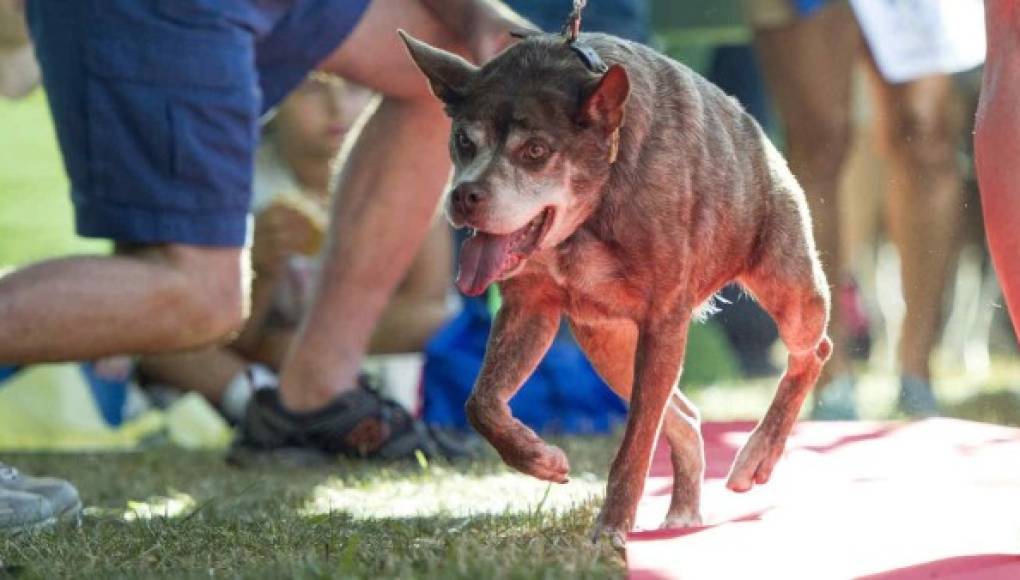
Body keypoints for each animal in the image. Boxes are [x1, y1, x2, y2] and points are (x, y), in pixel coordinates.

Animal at [397, 30, 828, 546]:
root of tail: (757, 133)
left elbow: (636, 442)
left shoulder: (664, 321)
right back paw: (684, 510)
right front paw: (538, 457)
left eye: (536, 151)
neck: (596, 198)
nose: (464, 195)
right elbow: (480, 403)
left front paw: (611, 528)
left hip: (788, 288)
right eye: (464, 139)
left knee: (812, 352)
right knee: (684, 415)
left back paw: (758, 454)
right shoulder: (530, 305)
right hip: (606, 342)